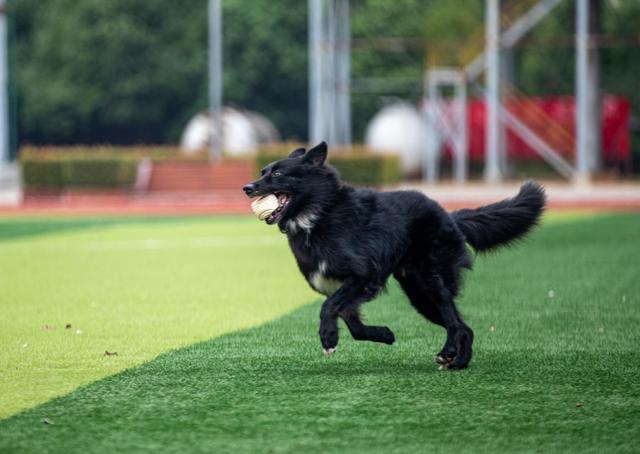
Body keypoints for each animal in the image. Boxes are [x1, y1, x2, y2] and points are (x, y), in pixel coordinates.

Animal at [242, 142, 544, 368]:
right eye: (263, 171)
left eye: (278, 174)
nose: (247, 187)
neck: (318, 214)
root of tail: (450, 215)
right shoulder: (340, 288)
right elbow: (354, 327)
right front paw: (384, 335)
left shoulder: (363, 276)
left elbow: (327, 308)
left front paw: (328, 337)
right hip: (419, 294)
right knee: (463, 327)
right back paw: (458, 362)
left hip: (431, 282)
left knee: (453, 322)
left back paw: (450, 354)